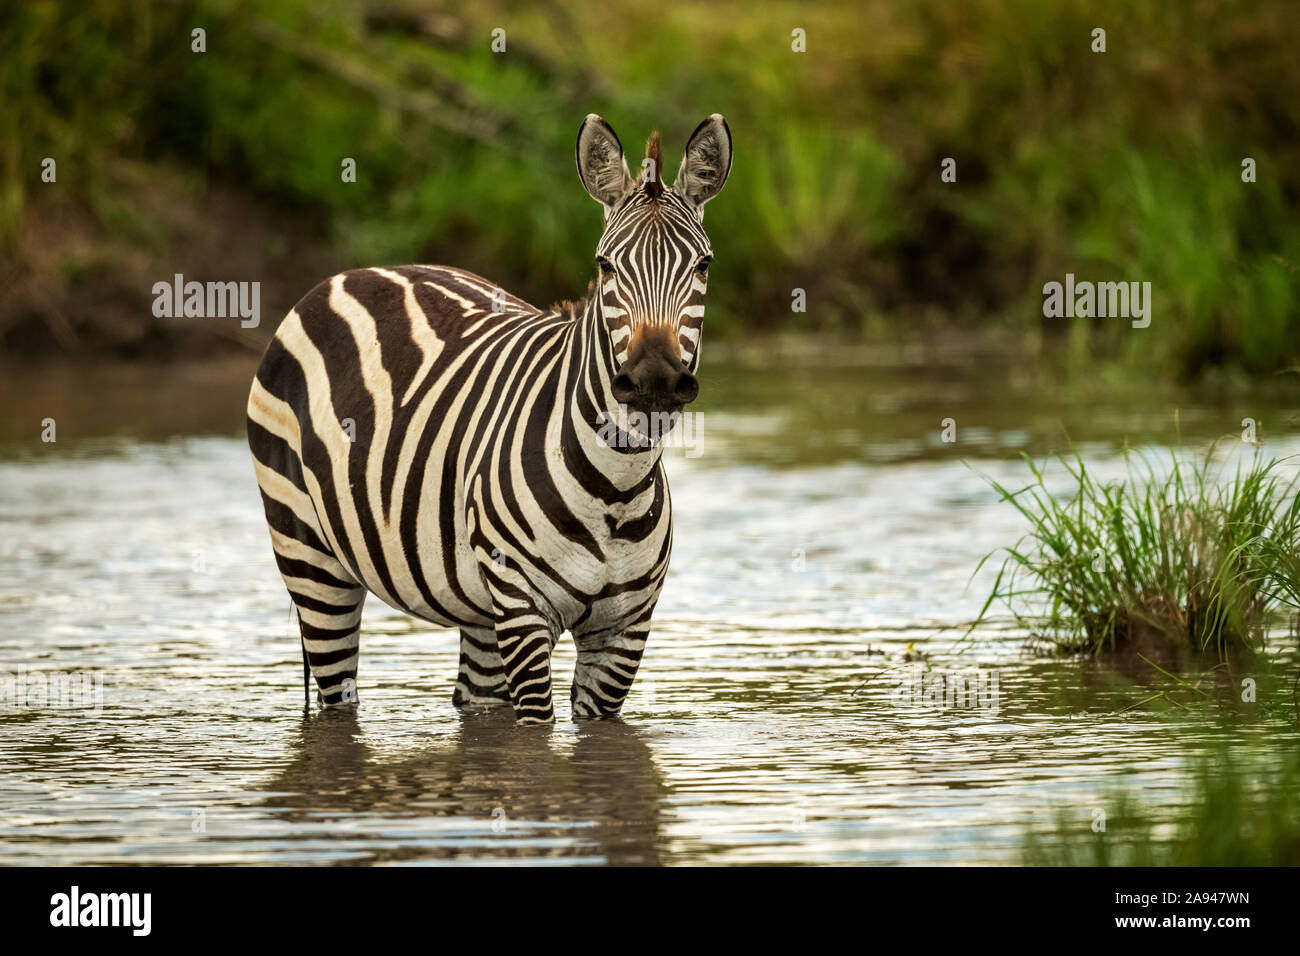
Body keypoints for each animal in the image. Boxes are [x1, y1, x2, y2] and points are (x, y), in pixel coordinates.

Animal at [246, 113, 731, 724]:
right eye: (605, 265)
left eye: (704, 264)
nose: (654, 381)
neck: (617, 484)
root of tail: (353, 274)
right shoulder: (523, 609)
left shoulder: (623, 630)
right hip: (309, 552)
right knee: (337, 700)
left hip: (478, 607)